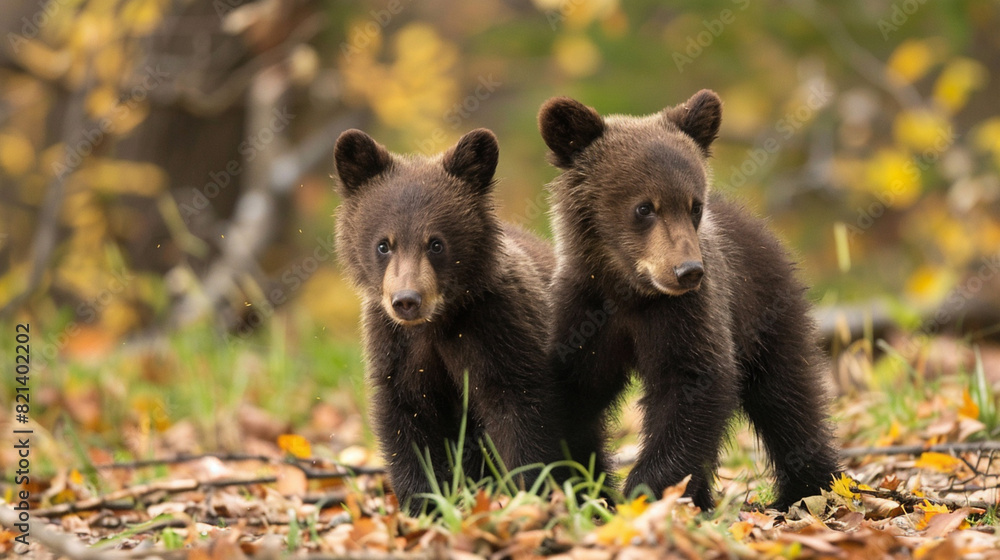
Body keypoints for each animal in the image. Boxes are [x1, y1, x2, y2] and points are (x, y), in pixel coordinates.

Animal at [333, 127, 565, 514]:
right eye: (384, 244)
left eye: (436, 243)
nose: (406, 300)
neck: (437, 323)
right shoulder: (398, 351)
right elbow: (409, 425)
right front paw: (423, 503)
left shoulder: (499, 331)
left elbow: (523, 418)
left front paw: (531, 491)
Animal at [537, 90, 840, 510]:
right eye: (644, 207)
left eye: (694, 205)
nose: (688, 271)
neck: (629, 290)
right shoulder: (584, 310)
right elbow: (574, 394)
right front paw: (585, 486)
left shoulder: (686, 313)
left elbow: (694, 383)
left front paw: (646, 491)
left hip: (764, 307)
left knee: (788, 395)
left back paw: (806, 489)